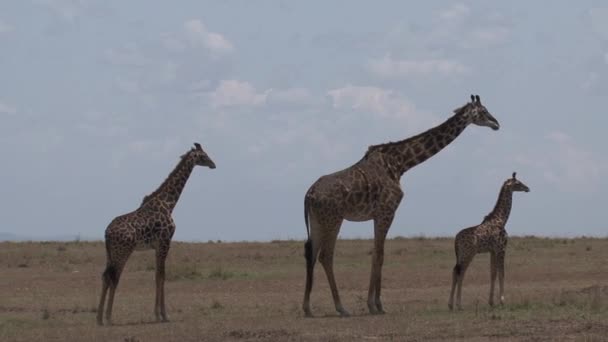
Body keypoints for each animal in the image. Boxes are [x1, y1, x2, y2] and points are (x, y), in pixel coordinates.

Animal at [97, 142, 216, 326]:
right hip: (122, 251)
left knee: (105, 276)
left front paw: (158, 314)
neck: (169, 203)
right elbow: (162, 276)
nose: (213, 164)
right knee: (114, 278)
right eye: (204, 155)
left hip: (109, 253)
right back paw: (109, 317)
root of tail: (106, 233)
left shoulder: (157, 246)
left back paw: (99, 318)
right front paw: (163, 315)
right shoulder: (165, 242)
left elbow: (156, 276)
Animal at [302, 94, 498, 318]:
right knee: (325, 255)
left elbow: (377, 254)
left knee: (311, 253)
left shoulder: (379, 214)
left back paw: (308, 308)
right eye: (483, 111)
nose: (496, 123)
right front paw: (376, 305)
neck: (401, 164)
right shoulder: (387, 211)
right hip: (333, 219)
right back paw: (341, 307)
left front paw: (374, 304)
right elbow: (379, 255)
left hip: (318, 220)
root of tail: (309, 194)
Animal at [446, 171, 532, 310]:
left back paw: (451, 304)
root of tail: (456, 240)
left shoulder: (492, 251)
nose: (527, 188)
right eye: (518, 183)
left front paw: (491, 302)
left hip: (460, 255)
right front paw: (502, 301)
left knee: (455, 271)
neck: (502, 219)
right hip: (468, 253)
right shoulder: (501, 248)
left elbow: (493, 273)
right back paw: (458, 304)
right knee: (461, 272)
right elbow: (502, 273)